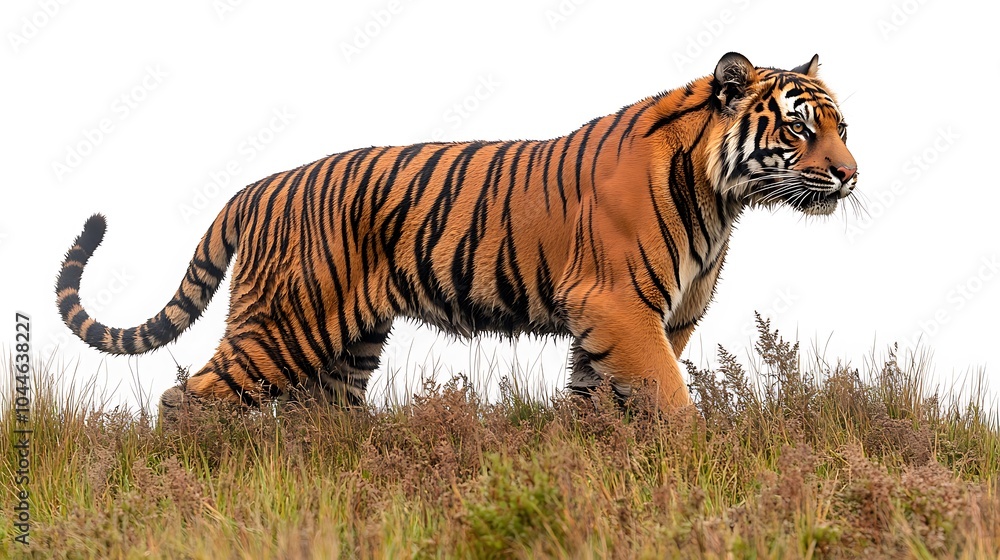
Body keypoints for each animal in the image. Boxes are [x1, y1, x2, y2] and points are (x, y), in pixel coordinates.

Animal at [55, 52, 858, 416]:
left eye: (842, 127)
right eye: (797, 127)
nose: (850, 175)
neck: (723, 199)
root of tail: (254, 188)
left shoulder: (645, 319)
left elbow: (597, 402)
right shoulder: (621, 308)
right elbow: (669, 398)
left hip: (348, 343)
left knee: (317, 418)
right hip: (283, 325)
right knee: (187, 398)